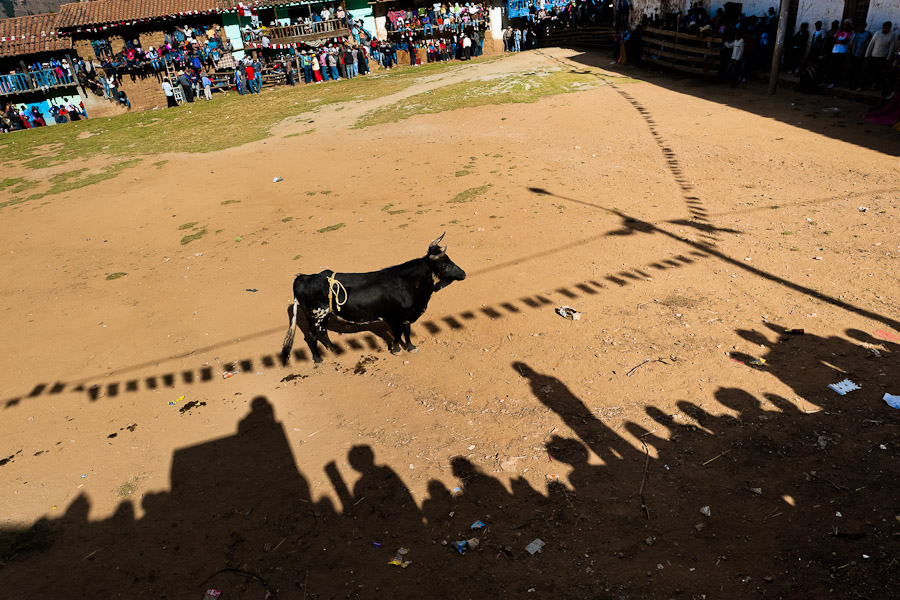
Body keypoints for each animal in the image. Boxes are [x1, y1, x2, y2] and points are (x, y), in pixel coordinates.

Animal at [282, 234, 468, 366]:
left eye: (450, 260)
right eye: (444, 265)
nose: (463, 273)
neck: (408, 283)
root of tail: (303, 278)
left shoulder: (406, 315)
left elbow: (407, 331)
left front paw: (411, 347)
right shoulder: (394, 317)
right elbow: (398, 333)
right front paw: (397, 349)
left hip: (325, 314)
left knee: (323, 331)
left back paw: (333, 348)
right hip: (315, 314)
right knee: (312, 335)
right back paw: (318, 358)